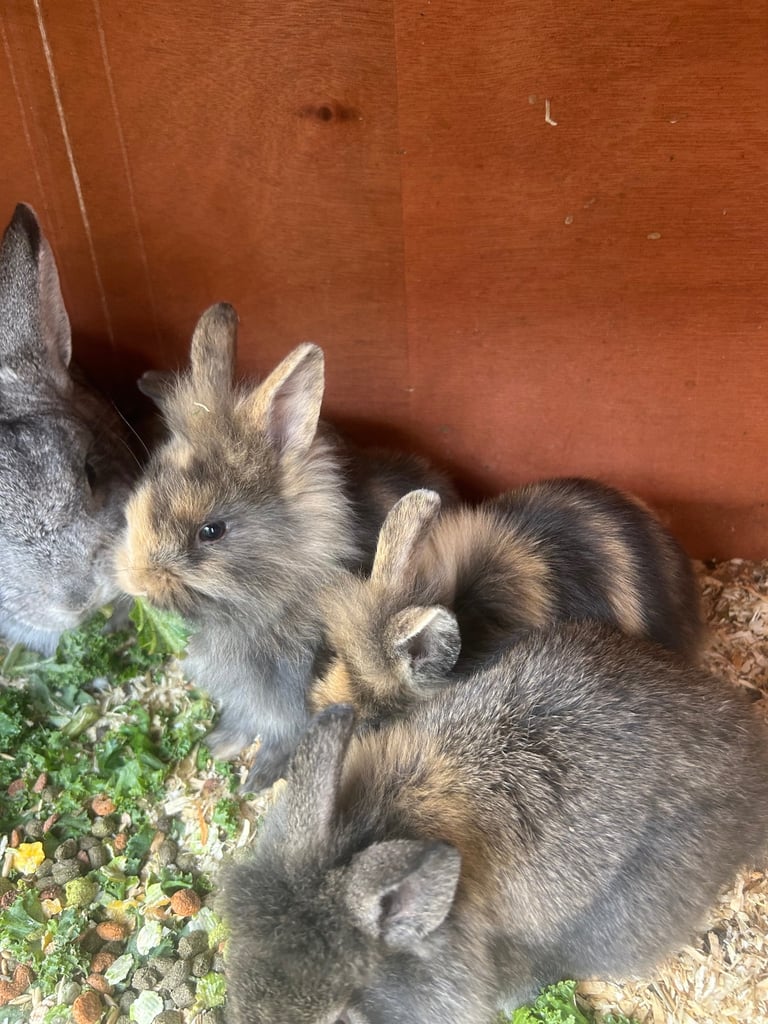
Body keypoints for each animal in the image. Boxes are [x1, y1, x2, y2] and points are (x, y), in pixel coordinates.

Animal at [115, 303, 455, 789]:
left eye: (211, 531)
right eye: (146, 482)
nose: (136, 581)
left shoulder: (292, 699)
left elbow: (282, 736)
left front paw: (257, 778)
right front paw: (220, 745)